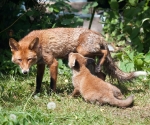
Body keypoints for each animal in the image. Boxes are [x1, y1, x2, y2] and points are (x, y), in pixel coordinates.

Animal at [9, 27, 146, 94]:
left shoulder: (53, 63)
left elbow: (52, 83)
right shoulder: (41, 65)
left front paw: (51, 95)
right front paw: (36, 94)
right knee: (103, 74)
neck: (40, 46)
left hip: (83, 50)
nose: (25, 72)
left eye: (29, 59)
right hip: (87, 58)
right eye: (19, 60)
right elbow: (38, 81)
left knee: (105, 52)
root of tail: (98, 34)